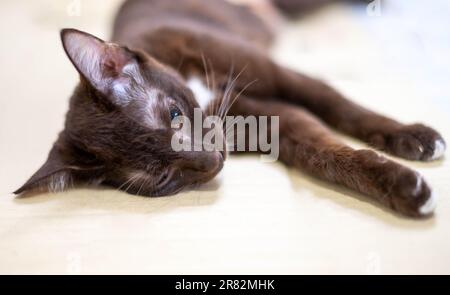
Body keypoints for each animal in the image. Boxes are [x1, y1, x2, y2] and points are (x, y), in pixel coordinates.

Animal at [15, 0, 444, 217]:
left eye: (174, 115)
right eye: (162, 178)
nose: (212, 160)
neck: (207, 94)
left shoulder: (277, 76)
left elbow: (339, 105)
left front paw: (414, 137)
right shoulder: (276, 123)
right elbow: (325, 156)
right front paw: (403, 188)